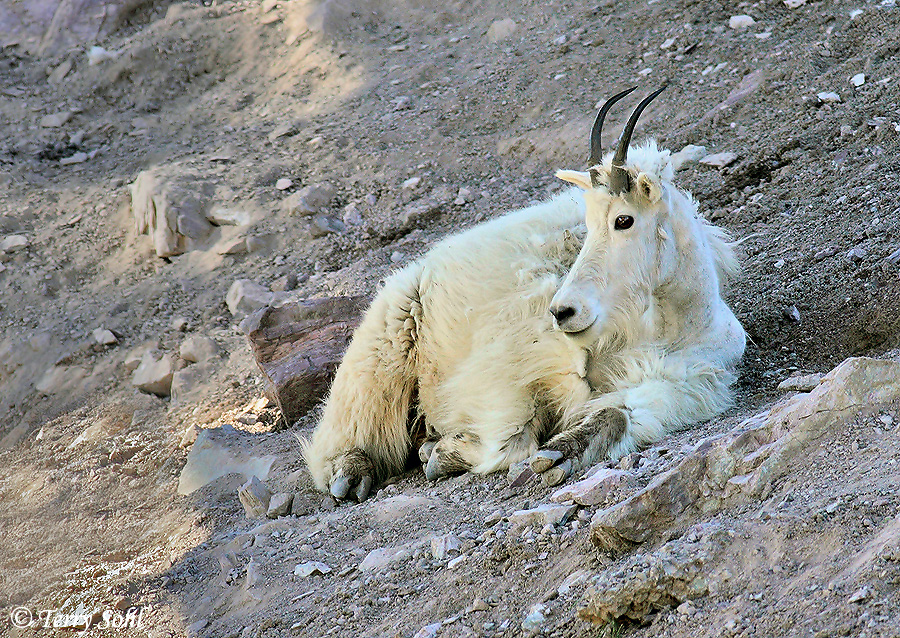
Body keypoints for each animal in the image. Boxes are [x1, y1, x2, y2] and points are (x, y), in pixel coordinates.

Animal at [302, 87, 746, 501]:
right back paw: (350, 472)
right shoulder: (512, 363)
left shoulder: (687, 381)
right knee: (352, 418)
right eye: (587, 223)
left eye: (624, 220)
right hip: (389, 333)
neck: (669, 323)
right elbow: (512, 439)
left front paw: (558, 454)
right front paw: (442, 453)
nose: (563, 312)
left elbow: (617, 414)